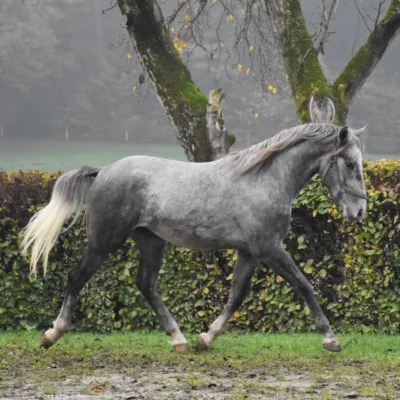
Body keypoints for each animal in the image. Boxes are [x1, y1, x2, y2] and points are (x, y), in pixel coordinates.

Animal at [21, 122, 366, 354]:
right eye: (350, 163)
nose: (360, 210)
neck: (264, 179)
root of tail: (103, 171)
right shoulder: (270, 249)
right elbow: (304, 285)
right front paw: (331, 339)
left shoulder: (250, 253)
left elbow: (236, 296)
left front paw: (206, 338)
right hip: (104, 242)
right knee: (76, 276)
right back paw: (52, 334)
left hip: (150, 241)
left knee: (146, 284)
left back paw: (179, 339)